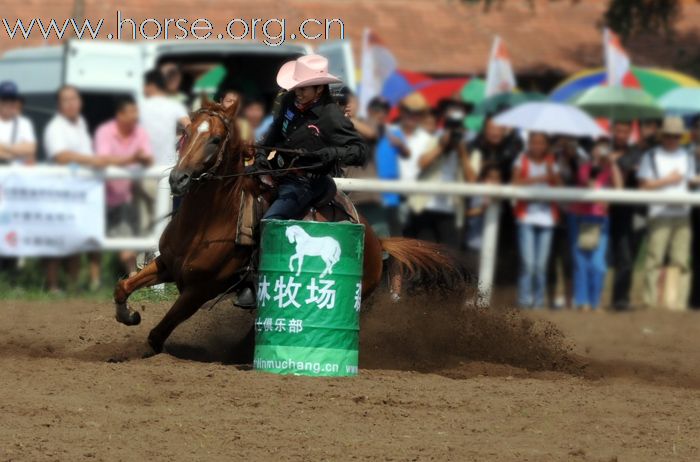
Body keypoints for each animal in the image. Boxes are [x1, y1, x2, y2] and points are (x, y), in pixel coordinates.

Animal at [112, 98, 468, 354]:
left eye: (214, 139)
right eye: (185, 133)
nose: (179, 179)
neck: (207, 221)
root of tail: (379, 242)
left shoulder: (200, 289)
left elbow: (159, 333)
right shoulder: (168, 265)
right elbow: (123, 286)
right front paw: (128, 315)